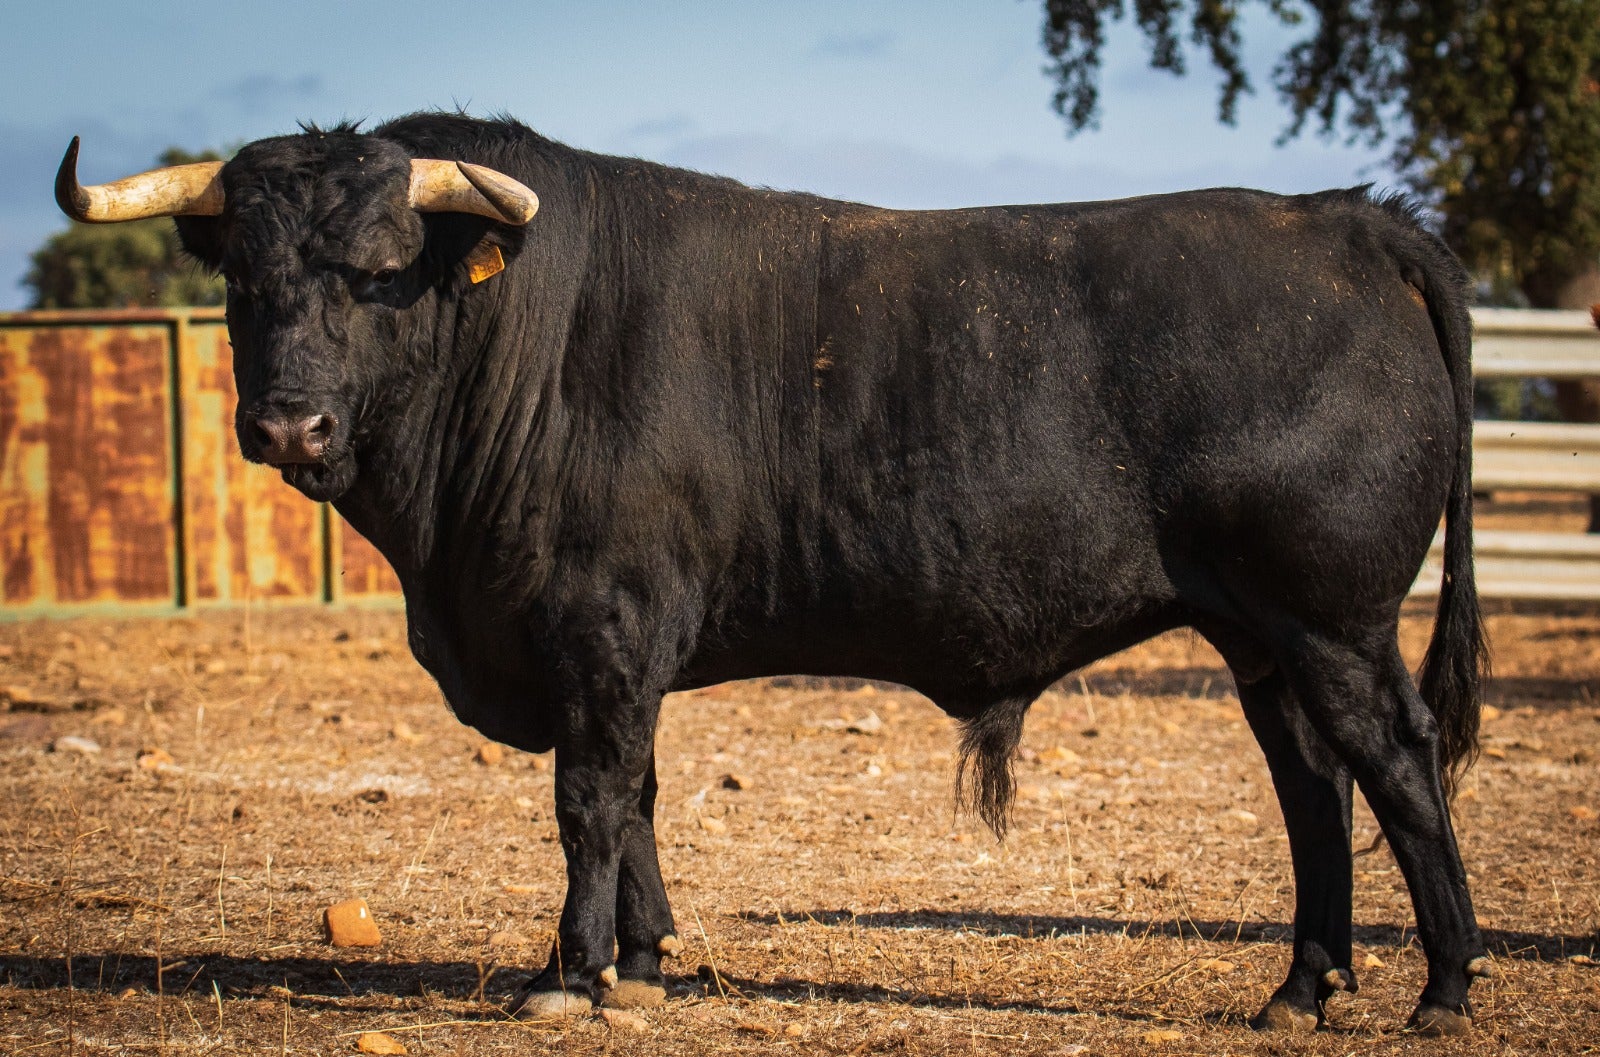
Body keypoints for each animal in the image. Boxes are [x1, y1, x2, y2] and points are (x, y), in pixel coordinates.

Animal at [56, 113, 1491, 1029]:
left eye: (375, 273)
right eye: (243, 277)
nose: (287, 425)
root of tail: (1343, 223)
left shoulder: (602, 629)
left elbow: (592, 798)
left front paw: (569, 971)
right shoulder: (608, 654)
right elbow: (639, 796)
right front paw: (646, 957)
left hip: (1332, 615)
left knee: (1396, 762)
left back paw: (1442, 987)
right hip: (1258, 632)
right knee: (1311, 784)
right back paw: (1301, 987)